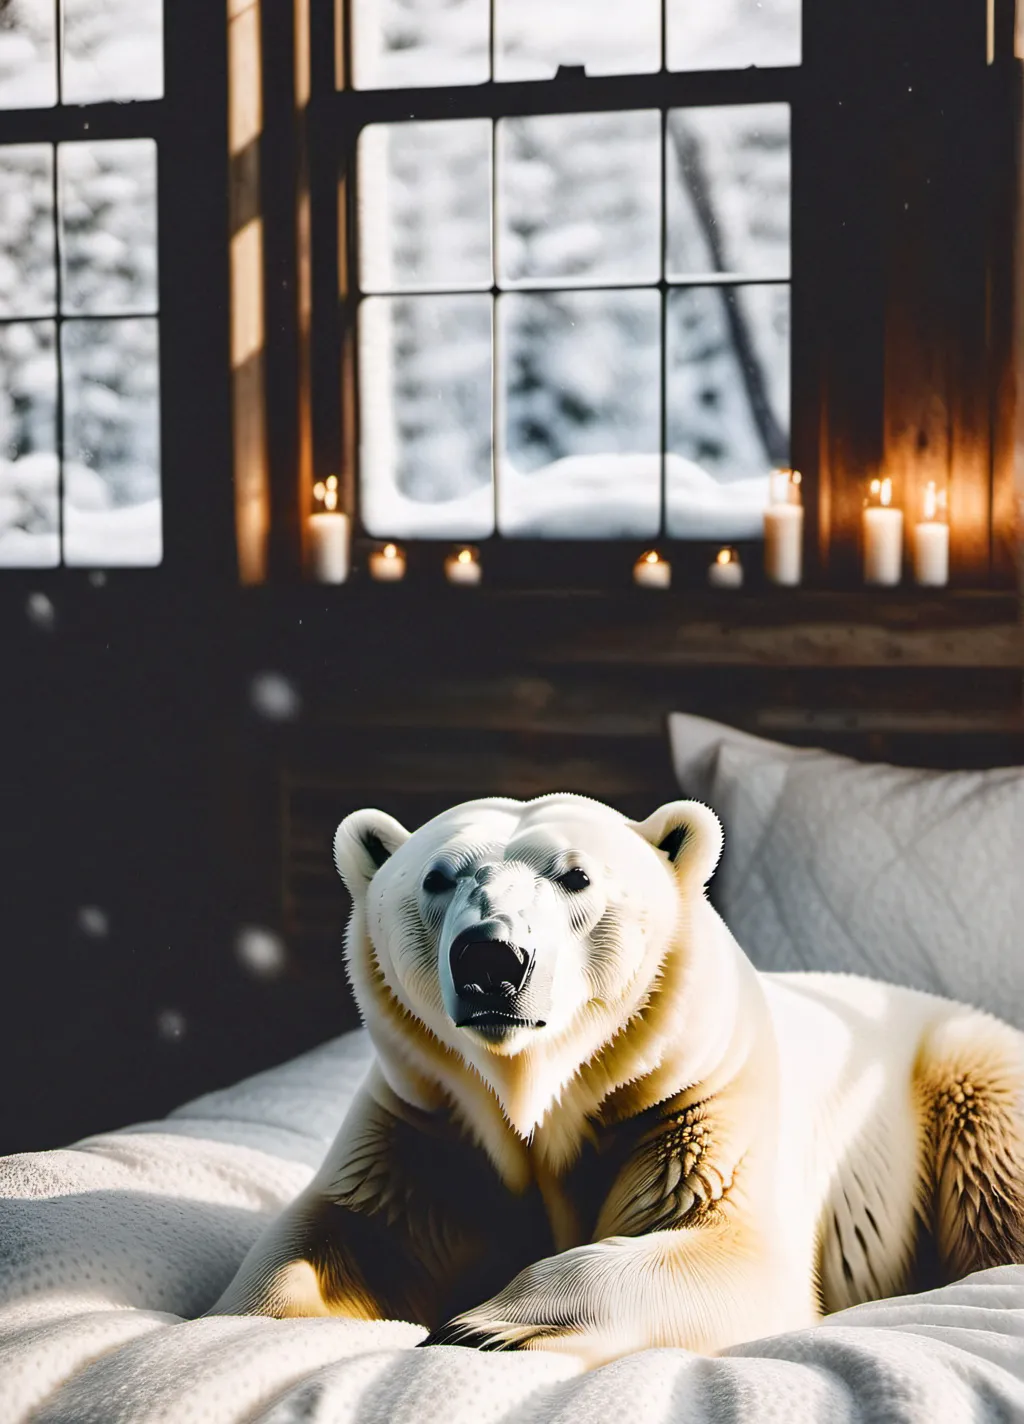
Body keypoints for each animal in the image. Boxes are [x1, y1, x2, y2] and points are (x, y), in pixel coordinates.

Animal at [210, 793, 1024, 1367]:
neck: (533, 1092)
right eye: (437, 877)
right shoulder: (427, 1123)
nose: (491, 960)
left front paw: (485, 1327)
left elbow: (727, 1247)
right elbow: (340, 1234)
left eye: (575, 876)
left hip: (966, 1078)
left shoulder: (693, 1101)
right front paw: (254, 1321)